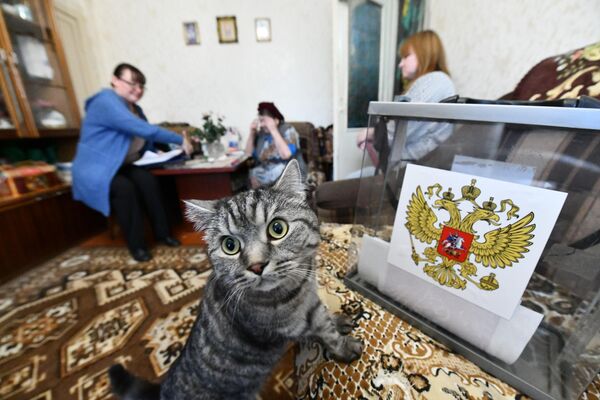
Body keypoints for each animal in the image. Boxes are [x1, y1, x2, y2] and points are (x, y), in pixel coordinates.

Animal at [108, 160, 364, 400]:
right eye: (229, 245)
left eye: (277, 228)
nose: (256, 266)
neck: (298, 288)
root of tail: (161, 390)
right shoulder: (292, 325)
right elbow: (324, 330)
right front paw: (345, 346)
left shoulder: (310, 303)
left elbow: (324, 316)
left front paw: (338, 320)